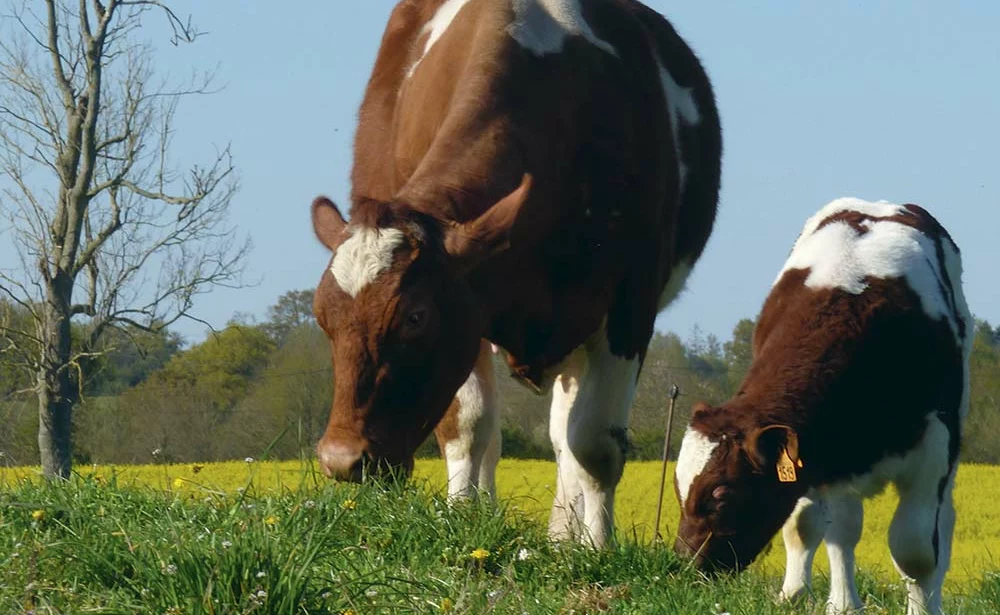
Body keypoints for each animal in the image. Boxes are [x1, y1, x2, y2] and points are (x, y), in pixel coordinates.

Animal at [310, 0, 720, 548]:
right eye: (322, 318)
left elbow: (594, 444)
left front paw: (596, 546)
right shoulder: (471, 308)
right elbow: (468, 427)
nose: (341, 459)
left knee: (567, 436)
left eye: (415, 316)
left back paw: (564, 537)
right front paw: (462, 519)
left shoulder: (630, 304)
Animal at [672, 199, 968, 615]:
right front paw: (811, 597)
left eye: (721, 494)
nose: (686, 566)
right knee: (840, 526)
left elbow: (916, 548)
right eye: (679, 487)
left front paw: (923, 608)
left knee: (944, 523)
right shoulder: (814, 452)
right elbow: (813, 527)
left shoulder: (935, 447)